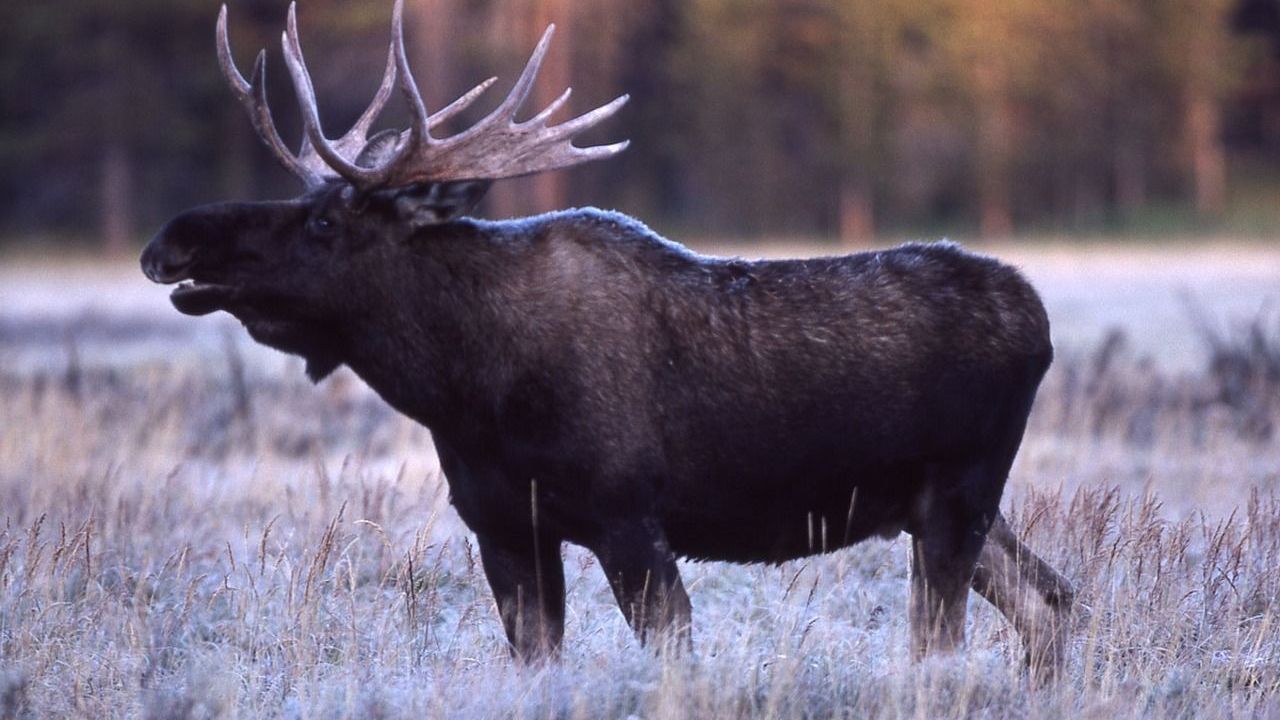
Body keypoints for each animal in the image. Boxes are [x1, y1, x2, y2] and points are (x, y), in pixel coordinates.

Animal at [141, 1, 1076, 676]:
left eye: (327, 220)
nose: (173, 241)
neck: (466, 388)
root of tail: (1039, 319)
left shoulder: (629, 519)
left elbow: (672, 658)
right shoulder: (505, 529)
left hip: (957, 496)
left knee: (951, 642)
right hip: (936, 509)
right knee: (1053, 601)